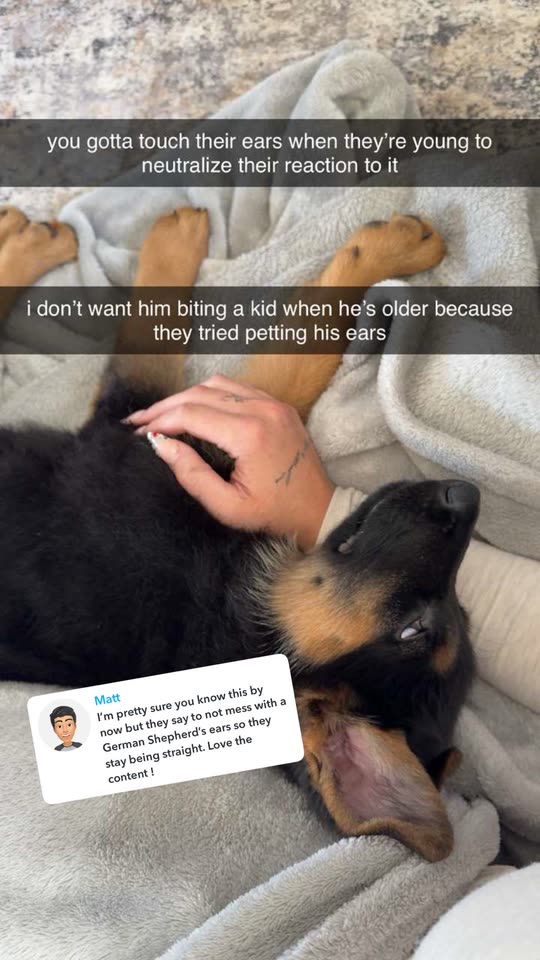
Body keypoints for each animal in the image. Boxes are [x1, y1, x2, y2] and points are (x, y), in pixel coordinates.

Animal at [0, 205, 478, 861]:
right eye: (457, 614)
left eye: (416, 630)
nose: (469, 495)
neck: (225, 610)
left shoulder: (152, 431)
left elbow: (277, 355)